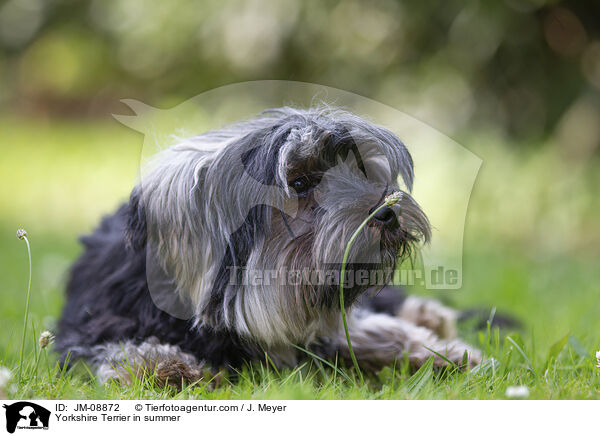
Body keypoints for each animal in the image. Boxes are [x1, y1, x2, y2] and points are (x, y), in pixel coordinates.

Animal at [54, 107, 480, 386]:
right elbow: (116, 348)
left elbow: (364, 328)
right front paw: (163, 365)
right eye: (300, 183)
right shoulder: (96, 321)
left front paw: (440, 352)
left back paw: (430, 317)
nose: (388, 212)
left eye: (360, 171)